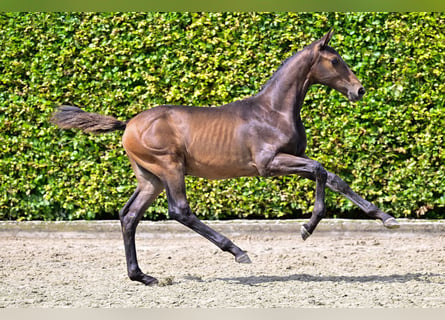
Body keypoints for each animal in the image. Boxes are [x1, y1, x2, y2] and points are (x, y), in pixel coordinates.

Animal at [52, 30, 398, 284]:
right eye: (335, 60)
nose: (359, 90)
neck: (272, 110)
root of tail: (128, 124)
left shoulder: (287, 160)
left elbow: (335, 178)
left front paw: (385, 218)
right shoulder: (269, 164)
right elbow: (320, 170)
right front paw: (307, 228)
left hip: (150, 178)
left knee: (129, 215)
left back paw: (143, 277)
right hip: (170, 167)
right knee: (179, 210)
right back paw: (237, 251)